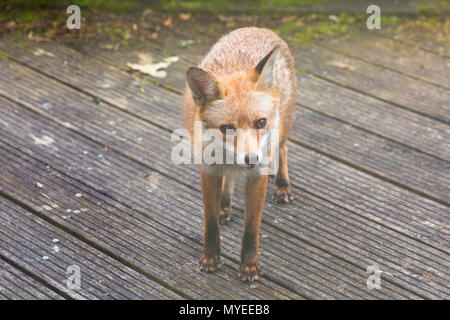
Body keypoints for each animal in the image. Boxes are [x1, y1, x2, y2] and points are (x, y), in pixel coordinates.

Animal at [183, 27, 298, 282]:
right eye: (227, 128)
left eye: (260, 122)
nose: (252, 159)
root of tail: (258, 28)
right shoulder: (208, 171)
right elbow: (210, 222)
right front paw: (211, 257)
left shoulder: (258, 175)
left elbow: (251, 228)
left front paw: (249, 265)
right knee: (230, 178)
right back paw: (225, 204)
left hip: (282, 127)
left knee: (282, 149)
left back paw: (282, 185)